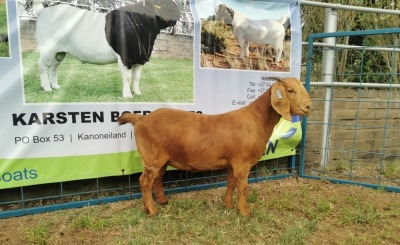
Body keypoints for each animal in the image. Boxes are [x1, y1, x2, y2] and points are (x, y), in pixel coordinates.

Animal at [117, 77, 310, 216]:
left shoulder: (233, 162)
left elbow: (231, 183)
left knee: (157, 178)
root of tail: (140, 119)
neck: (256, 119)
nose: (308, 107)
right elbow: (242, 186)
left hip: (162, 160)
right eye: (290, 90)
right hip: (152, 158)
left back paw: (163, 201)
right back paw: (151, 211)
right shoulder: (242, 162)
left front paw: (228, 205)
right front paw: (244, 212)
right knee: (145, 181)